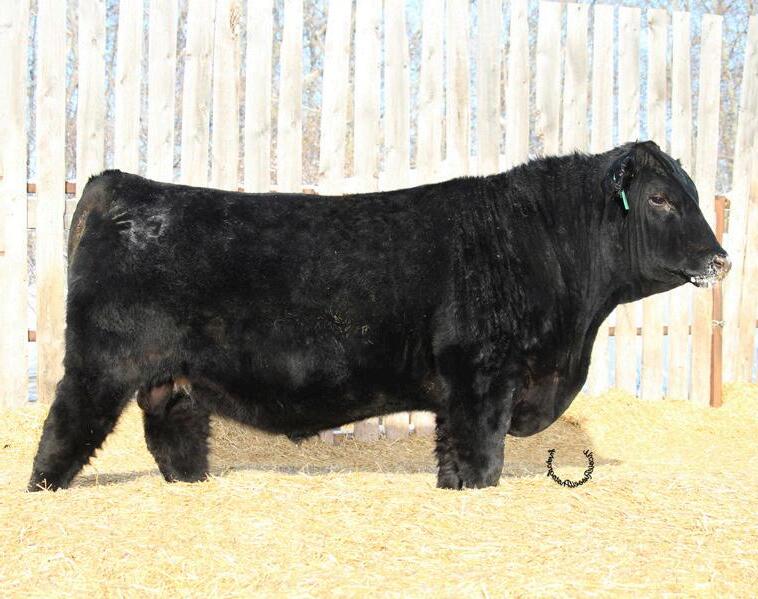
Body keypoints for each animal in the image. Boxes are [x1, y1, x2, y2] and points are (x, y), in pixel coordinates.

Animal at [28, 140, 730, 491]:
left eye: (692, 193)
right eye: (661, 199)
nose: (720, 258)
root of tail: (117, 183)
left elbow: (454, 451)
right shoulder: (481, 375)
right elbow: (481, 453)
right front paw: (476, 491)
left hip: (171, 380)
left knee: (172, 435)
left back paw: (192, 484)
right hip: (98, 365)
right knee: (62, 432)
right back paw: (43, 493)